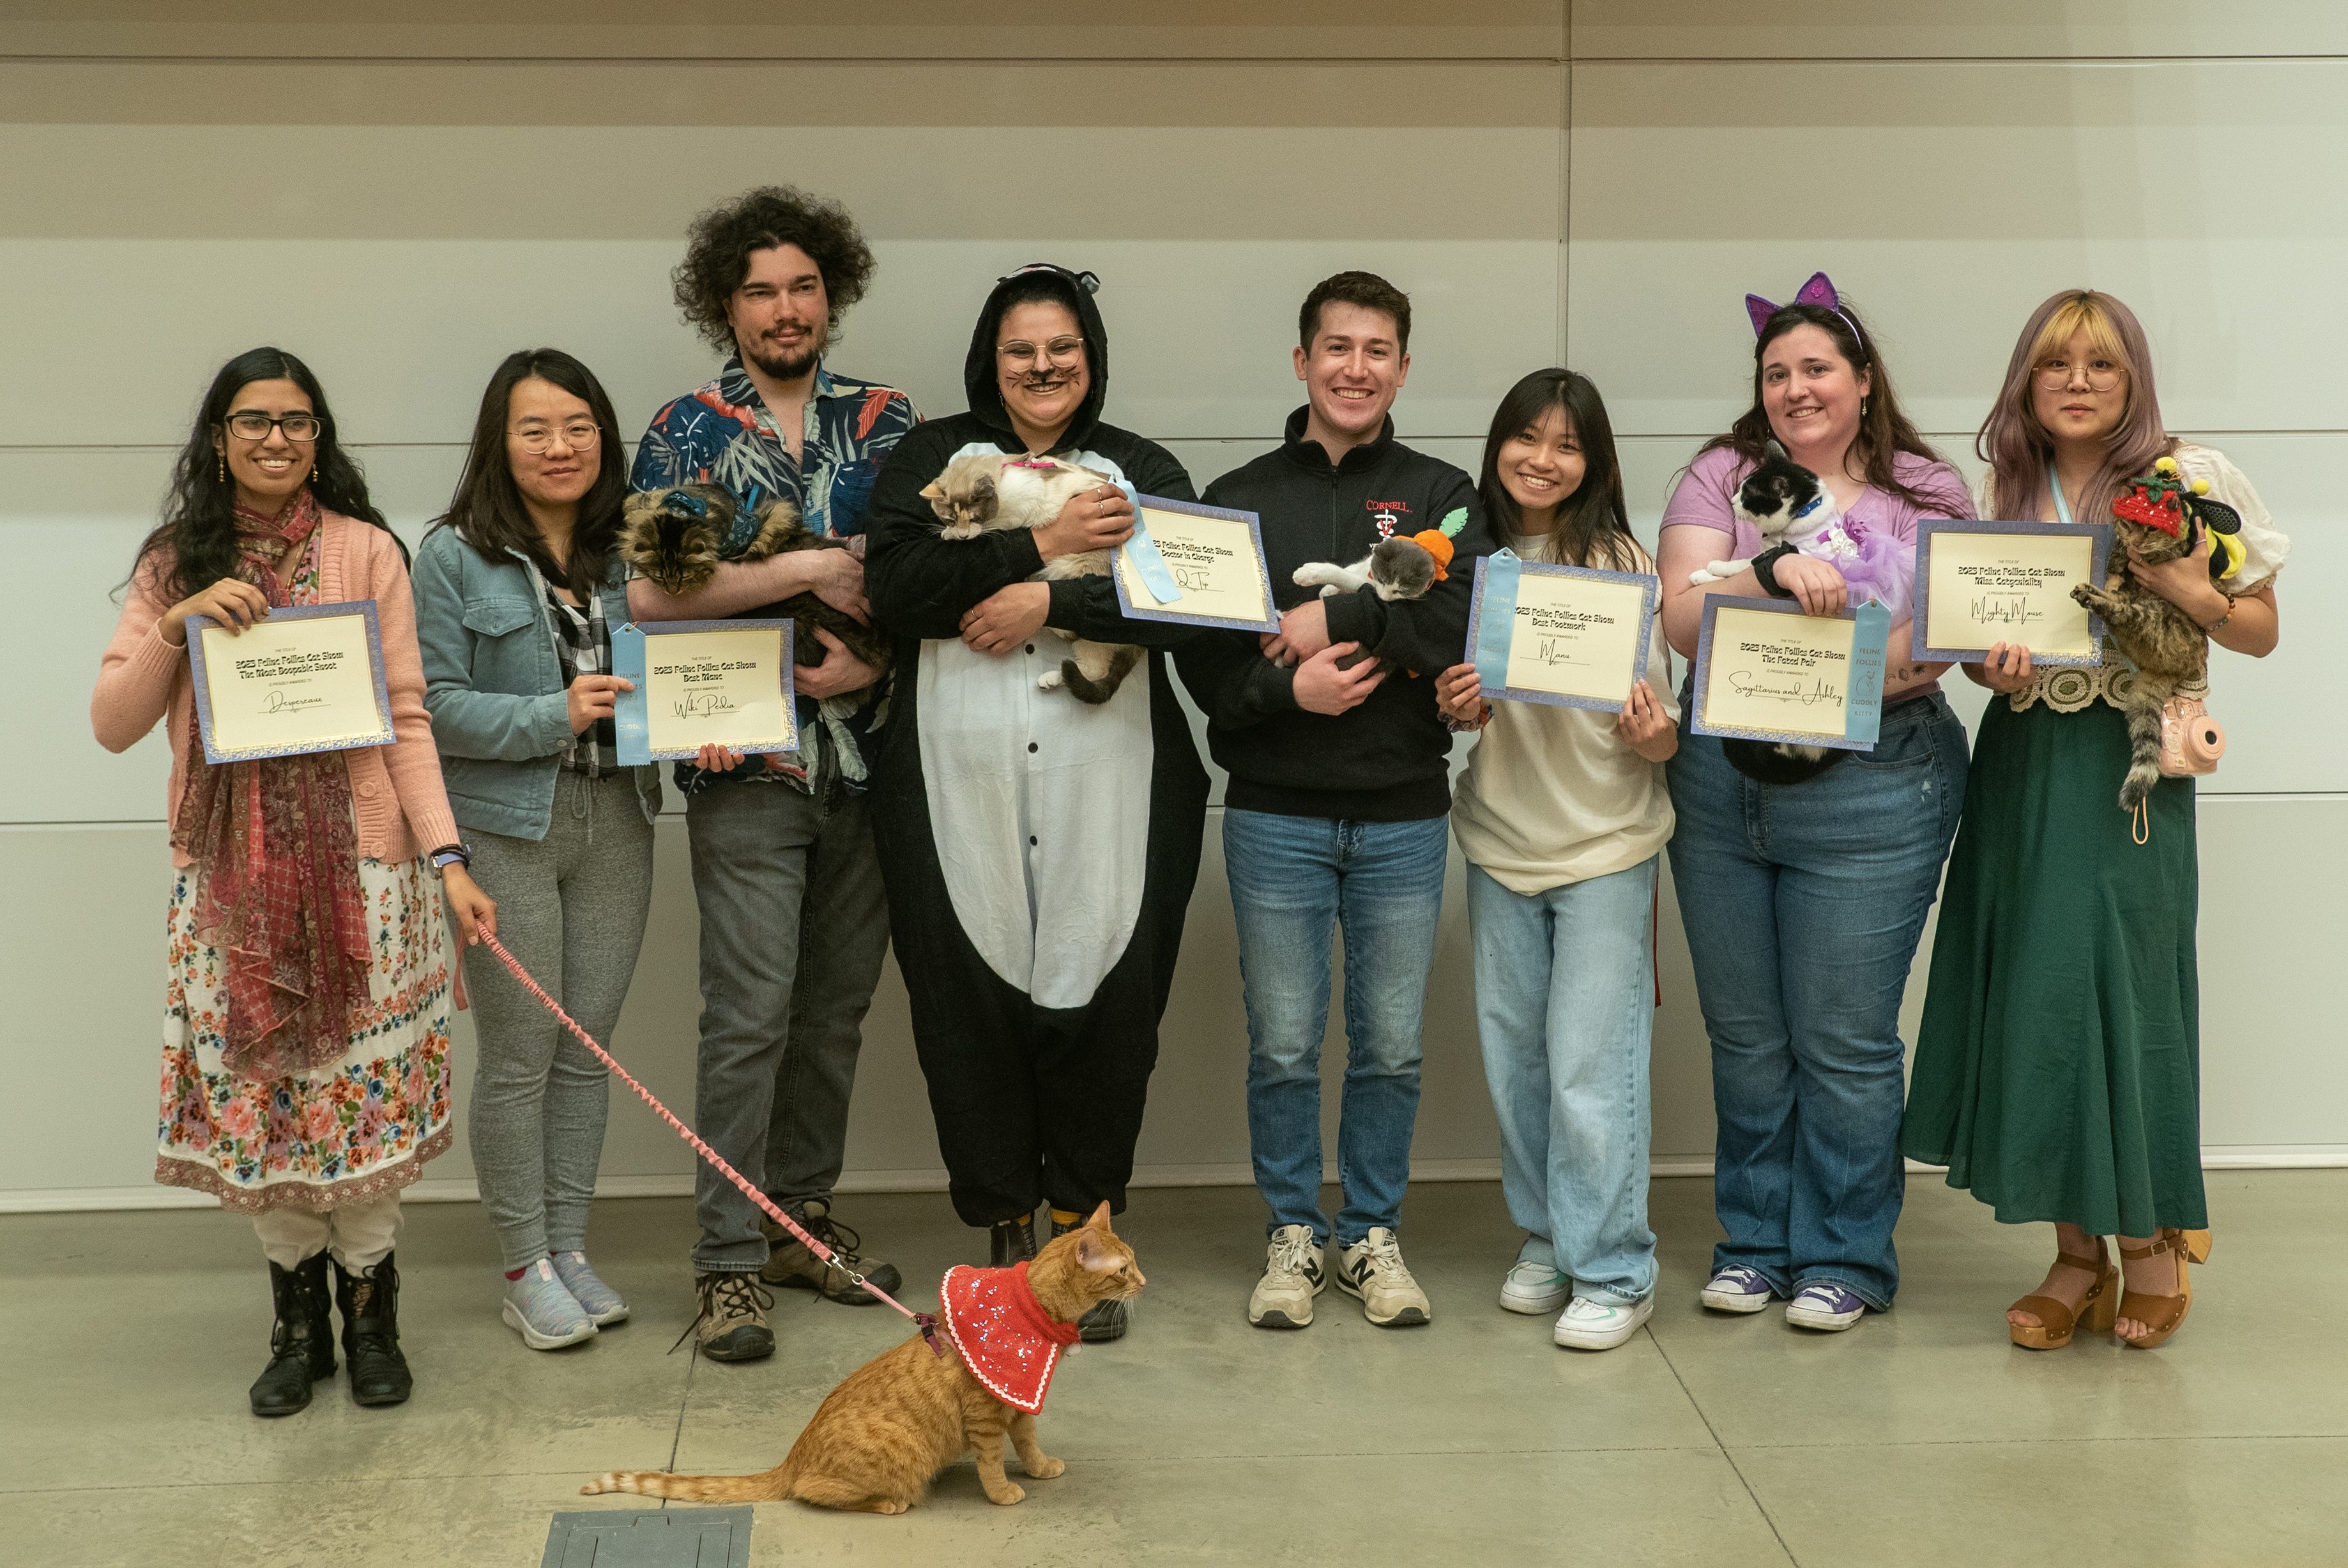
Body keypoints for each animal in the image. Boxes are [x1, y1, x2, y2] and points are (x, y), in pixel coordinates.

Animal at [582, 1201, 1141, 1521]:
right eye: (1123, 1269)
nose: (1144, 1280)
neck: (1032, 1314)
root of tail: (793, 1456)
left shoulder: (1018, 1402)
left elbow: (1027, 1441)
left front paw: (1040, 1467)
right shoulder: (986, 1414)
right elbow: (991, 1461)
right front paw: (1002, 1490)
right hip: (901, 1456)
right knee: (811, 1491)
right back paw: (889, 1501)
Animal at [911, 450, 1141, 699]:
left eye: (974, 517)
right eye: (950, 519)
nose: (963, 536)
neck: (1003, 480)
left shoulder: (1020, 512)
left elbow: (996, 525)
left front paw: (957, 534)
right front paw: (948, 533)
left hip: (1068, 568)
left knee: (1086, 656)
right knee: (1091, 667)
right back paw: (1050, 679)